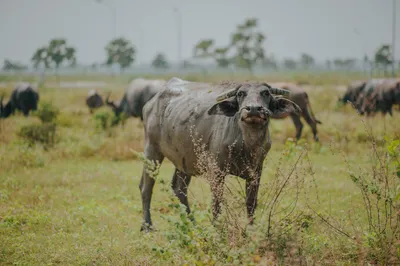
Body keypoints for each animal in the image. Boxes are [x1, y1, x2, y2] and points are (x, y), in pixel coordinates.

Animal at [140, 77, 300, 231]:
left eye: (265, 93)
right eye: (240, 94)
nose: (253, 109)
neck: (246, 144)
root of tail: (150, 104)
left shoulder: (256, 172)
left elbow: (251, 202)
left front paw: (251, 228)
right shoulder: (216, 171)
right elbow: (217, 203)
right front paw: (216, 228)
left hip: (185, 161)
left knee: (179, 189)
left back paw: (192, 224)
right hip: (152, 151)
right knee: (146, 187)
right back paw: (147, 225)